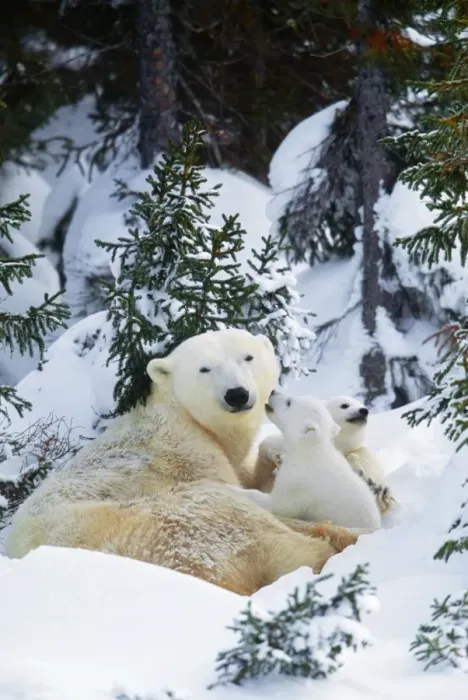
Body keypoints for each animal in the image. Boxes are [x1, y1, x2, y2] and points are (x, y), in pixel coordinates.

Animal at [5, 329, 358, 596]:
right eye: (204, 369)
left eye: (247, 357)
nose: (237, 394)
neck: (182, 414)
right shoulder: (190, 454)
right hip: (183, 524)